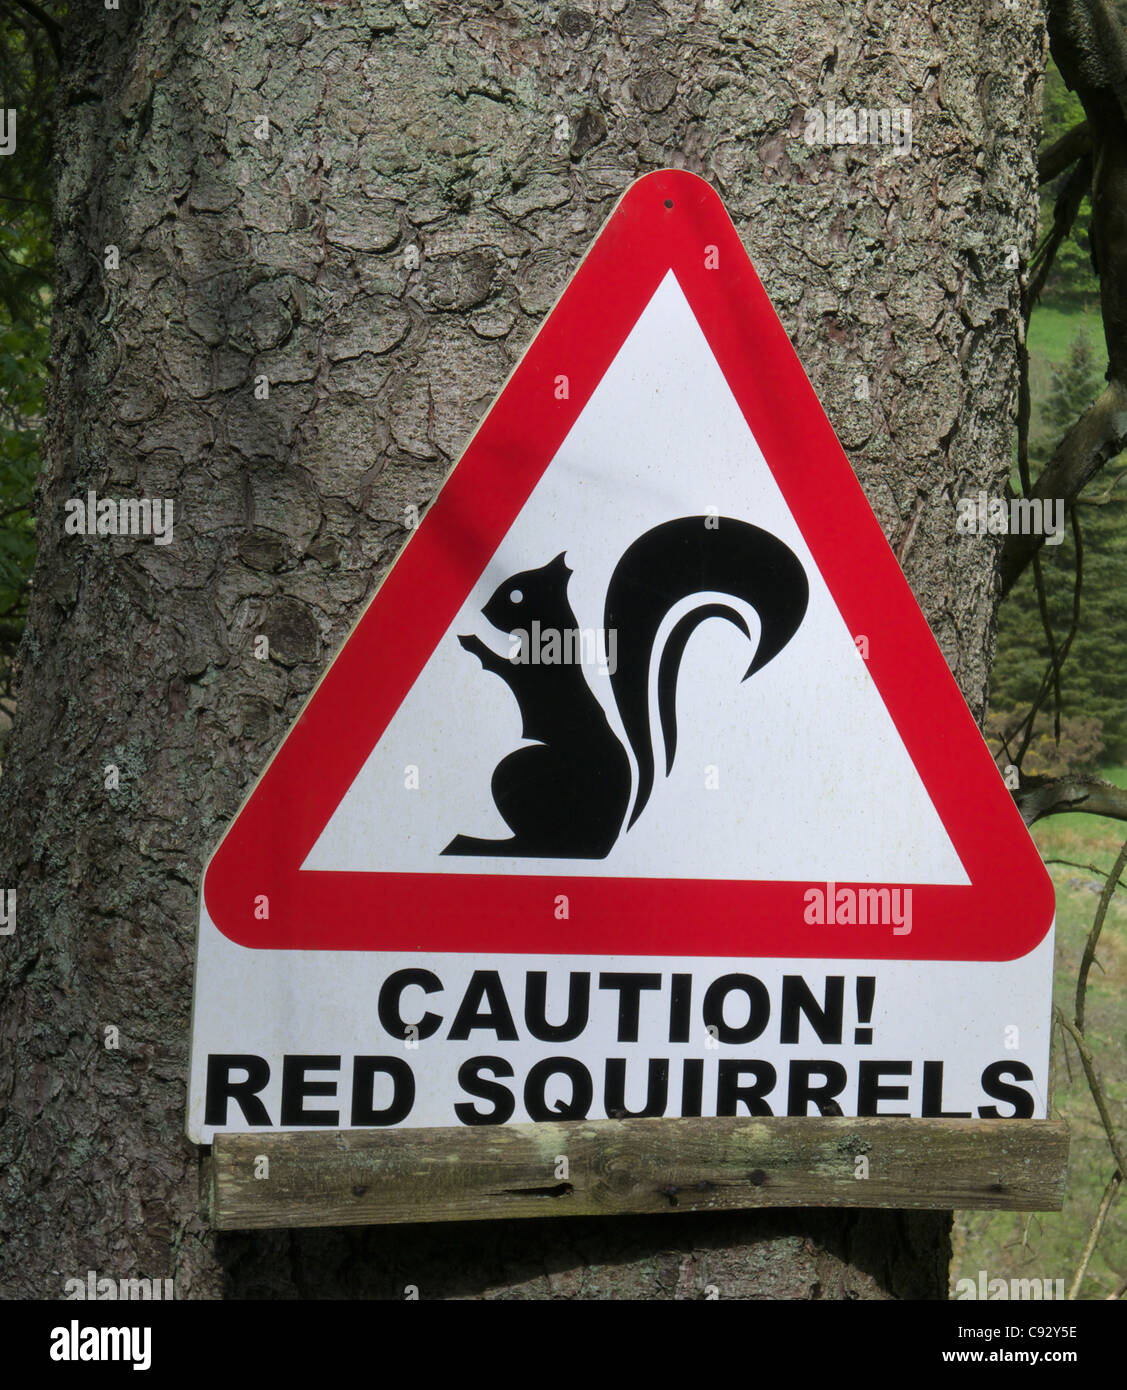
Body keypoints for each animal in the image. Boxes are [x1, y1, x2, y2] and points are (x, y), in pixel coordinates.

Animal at [442, 515, 809, 859]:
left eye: (516, 595)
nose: (483, 609)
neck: (549, 629)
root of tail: (606, 844)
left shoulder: (534, 667)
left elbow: (503, 666)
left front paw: (473, 642)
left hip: (519, 770)